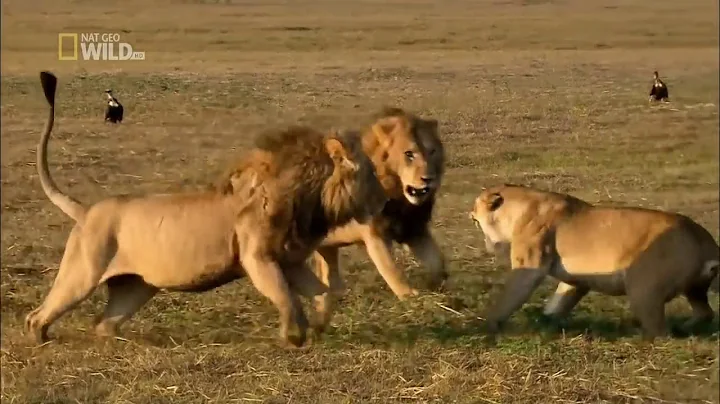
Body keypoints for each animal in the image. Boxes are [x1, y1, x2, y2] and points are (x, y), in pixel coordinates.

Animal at [25, 71, 387, 348]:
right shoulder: (257, 258)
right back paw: (39, 340)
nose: (385, 200)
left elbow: (323, 294)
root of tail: (86, 211)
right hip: (82, 273)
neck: (306, 197)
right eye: (371, 173)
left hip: (136, 286)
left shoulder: (289, 260)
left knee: (104, 323)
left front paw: (318, 326)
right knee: (38, 314)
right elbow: (287, 298)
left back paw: (120, 344)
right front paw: (294, 336)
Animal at [469, 183, 719, 341]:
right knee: (705, 313)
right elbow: (558, 304)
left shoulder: (528, 268)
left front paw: (488, 325)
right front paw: (544, 323)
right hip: (694, 290)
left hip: (644, 290)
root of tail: (705, 242)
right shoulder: (576, 281)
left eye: (476, 219)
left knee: (660, 332)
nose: (487, 245)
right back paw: (685, 329)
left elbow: (506, 301)